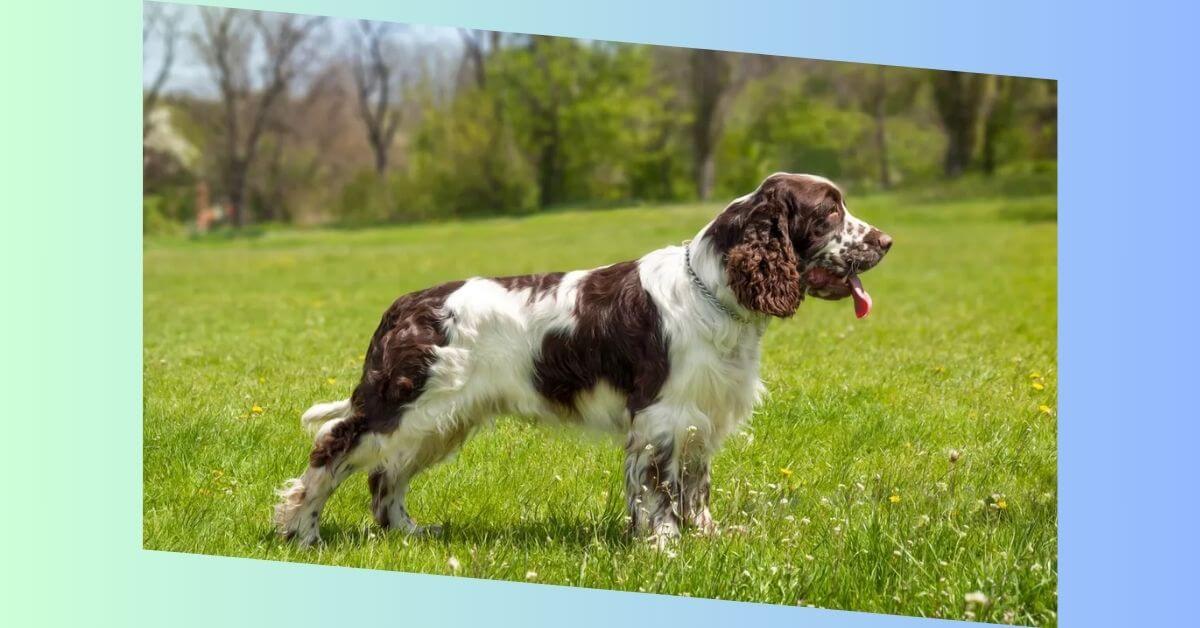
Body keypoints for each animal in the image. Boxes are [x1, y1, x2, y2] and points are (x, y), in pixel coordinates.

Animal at [274, 171, 892, 545]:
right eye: (830, 211)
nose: (886, 241)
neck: (712, 289)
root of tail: (404, 306)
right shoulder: (661, 418)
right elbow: (658, 491)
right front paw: (665, 547)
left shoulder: (699, 418)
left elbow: (695, 488)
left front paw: (708, 538)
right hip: (405, 405)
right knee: (333, 444)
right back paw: (301, 530)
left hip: (441, 420)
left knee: (387, 476)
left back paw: (407, 533)